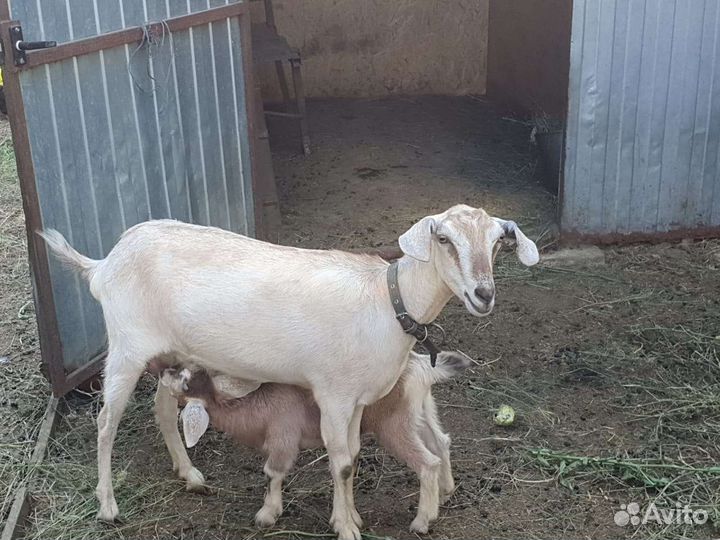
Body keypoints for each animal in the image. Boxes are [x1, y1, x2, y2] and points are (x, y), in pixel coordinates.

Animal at [158, 350, 470, 532]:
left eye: (186, 382)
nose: (162, 371)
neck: (255, 404)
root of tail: (420, 367)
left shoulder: (283, 437)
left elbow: (272, 473)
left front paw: (267, 514)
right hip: (419, 412)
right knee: (441, 443)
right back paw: (445, 492)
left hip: (394, 426)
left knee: (428, 462)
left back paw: (422, 521)